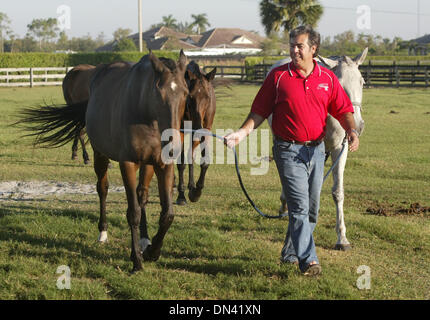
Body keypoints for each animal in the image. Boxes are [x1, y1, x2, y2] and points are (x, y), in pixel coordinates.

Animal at [18, 51, 190, 272]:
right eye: (158, 93)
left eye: (185, 93)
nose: (173, 144)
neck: (146, 116)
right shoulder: (127, 163)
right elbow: (133, 212)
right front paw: (136, 260)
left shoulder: (162, 165)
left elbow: (167, 214)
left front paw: (152, 252)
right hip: (100, 155)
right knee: (103, 188)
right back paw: (103, 232)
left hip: (147, 164)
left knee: (142, 194)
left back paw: (144, 239)